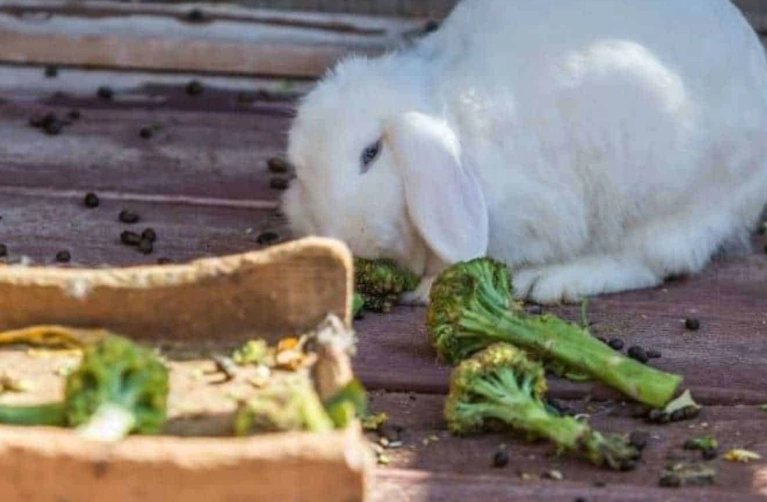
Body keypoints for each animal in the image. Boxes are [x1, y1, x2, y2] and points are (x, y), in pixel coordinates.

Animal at [281, 0, 767, 305]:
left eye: (370, 154)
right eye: (300, 172)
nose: (342, 240)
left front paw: (426, 288)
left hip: (664, 199)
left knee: (654, 261)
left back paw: (554, 281)